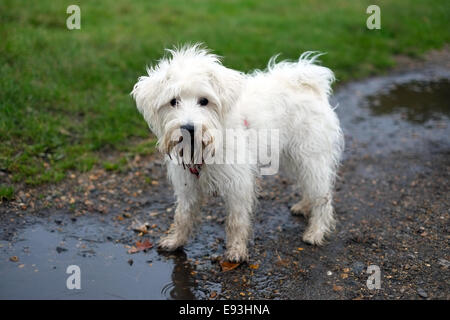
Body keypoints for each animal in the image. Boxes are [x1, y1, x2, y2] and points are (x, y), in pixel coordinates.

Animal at [132, 43, 342, 262]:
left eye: (204, 101)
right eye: (173, 101)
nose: (188, 128)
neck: (209, 143)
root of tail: (307, 81)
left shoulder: (238, 184)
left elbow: (236, 221)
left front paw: (236, 251)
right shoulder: (187, 185)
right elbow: (182, 215)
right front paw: (175, 241)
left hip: (311, 156)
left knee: (323, 195)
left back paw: (316, 231)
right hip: (293, 157)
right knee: (309, 185)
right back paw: (304, 206)